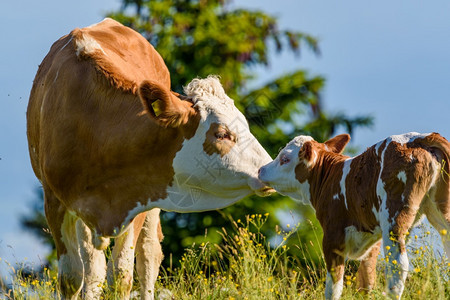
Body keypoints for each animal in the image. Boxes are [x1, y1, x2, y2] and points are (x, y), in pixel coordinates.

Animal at [28, 18, 274, 300]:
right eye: (222, 134)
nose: (266, 168)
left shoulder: (138, 195)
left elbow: (121, 276)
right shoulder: (54, 201)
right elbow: (72, 278)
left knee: (148, 255)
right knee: (93, 268)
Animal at [256, 132, 450, 298]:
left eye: (285, 158)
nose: (260, 169)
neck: (329, 177)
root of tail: (420, 137)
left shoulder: (332, 238)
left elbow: (334, 286)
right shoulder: (372, 238)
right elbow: (366, 280)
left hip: (394, 219)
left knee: (398, 266)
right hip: (440, 211)